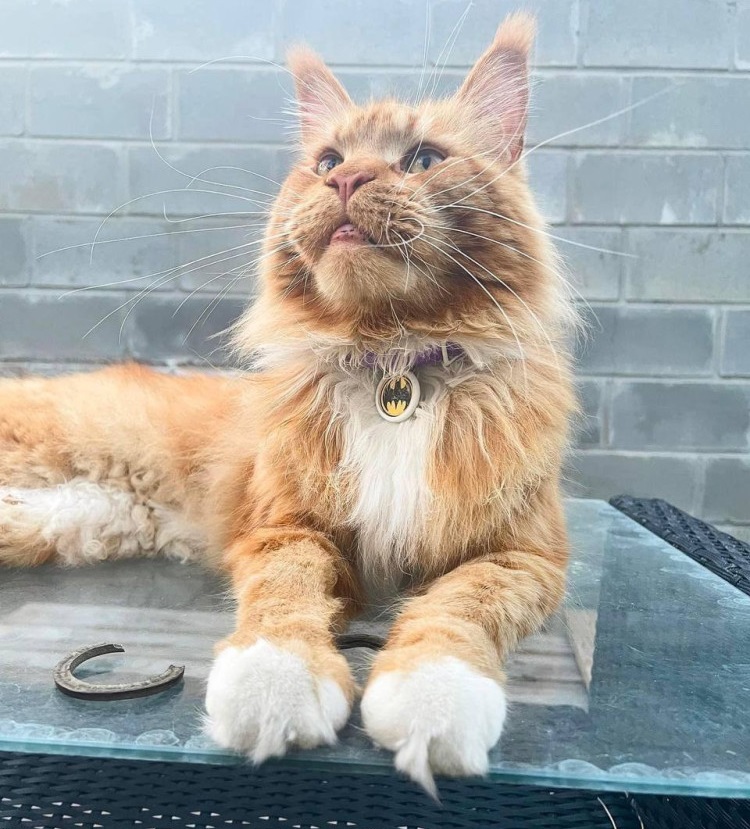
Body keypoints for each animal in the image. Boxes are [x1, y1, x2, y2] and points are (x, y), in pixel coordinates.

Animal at [0, 13, 576, 794]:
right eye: (328, 161)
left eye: (423, 159)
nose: (351, 179)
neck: (395, 370)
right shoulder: (286, 528)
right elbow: (286, 596)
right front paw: (272, 686)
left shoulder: (522, 556)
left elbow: (459, 609)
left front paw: (435, 696)